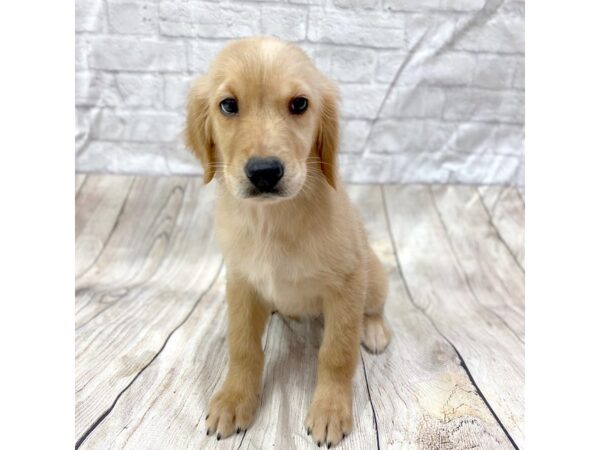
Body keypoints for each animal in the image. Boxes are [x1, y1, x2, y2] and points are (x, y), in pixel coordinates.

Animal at [185, 37, 390, 446]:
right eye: (228, 105)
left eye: (299, 104)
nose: (265, 172)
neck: (272, 221)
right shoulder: (241, 282)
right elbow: (242, 346)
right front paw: (233, 399)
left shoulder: (347, 284)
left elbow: (337, 352)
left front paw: (330, 409)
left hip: (373, 276)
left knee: (374, 307)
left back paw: (374, 330)